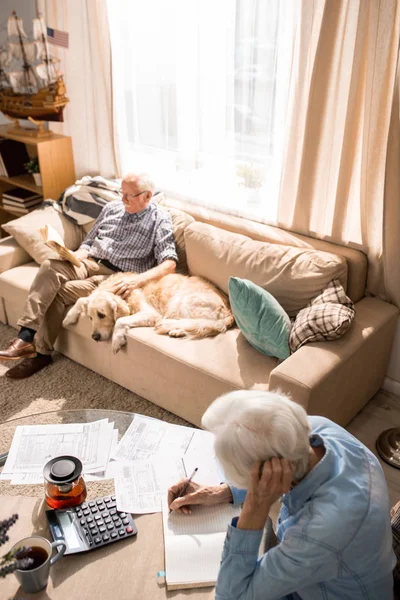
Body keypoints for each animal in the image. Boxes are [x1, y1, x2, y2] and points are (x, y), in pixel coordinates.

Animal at [62, 272, 234, 352]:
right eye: (90, 318)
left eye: (102, 315)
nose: (94, 337)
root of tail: (229, 311)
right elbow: (81, 299)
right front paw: (68, 317)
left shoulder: (151, 313)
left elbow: (120, 320)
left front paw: (117, 340)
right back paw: (176, 331)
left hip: (182, 300)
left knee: (201, 323)